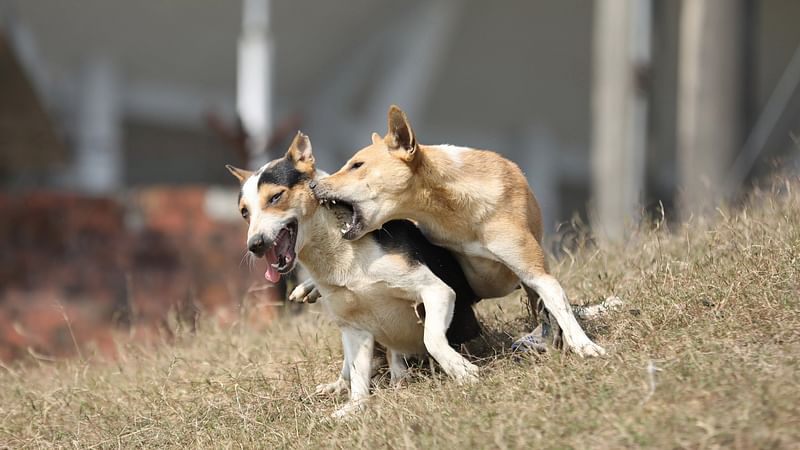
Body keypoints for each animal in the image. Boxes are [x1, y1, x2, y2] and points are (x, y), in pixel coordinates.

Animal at [312, 105, 608, 358]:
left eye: (357, 165)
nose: (314, 186)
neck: (451, 208)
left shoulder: (532, 269)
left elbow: (557, 300)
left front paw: (586, 346)